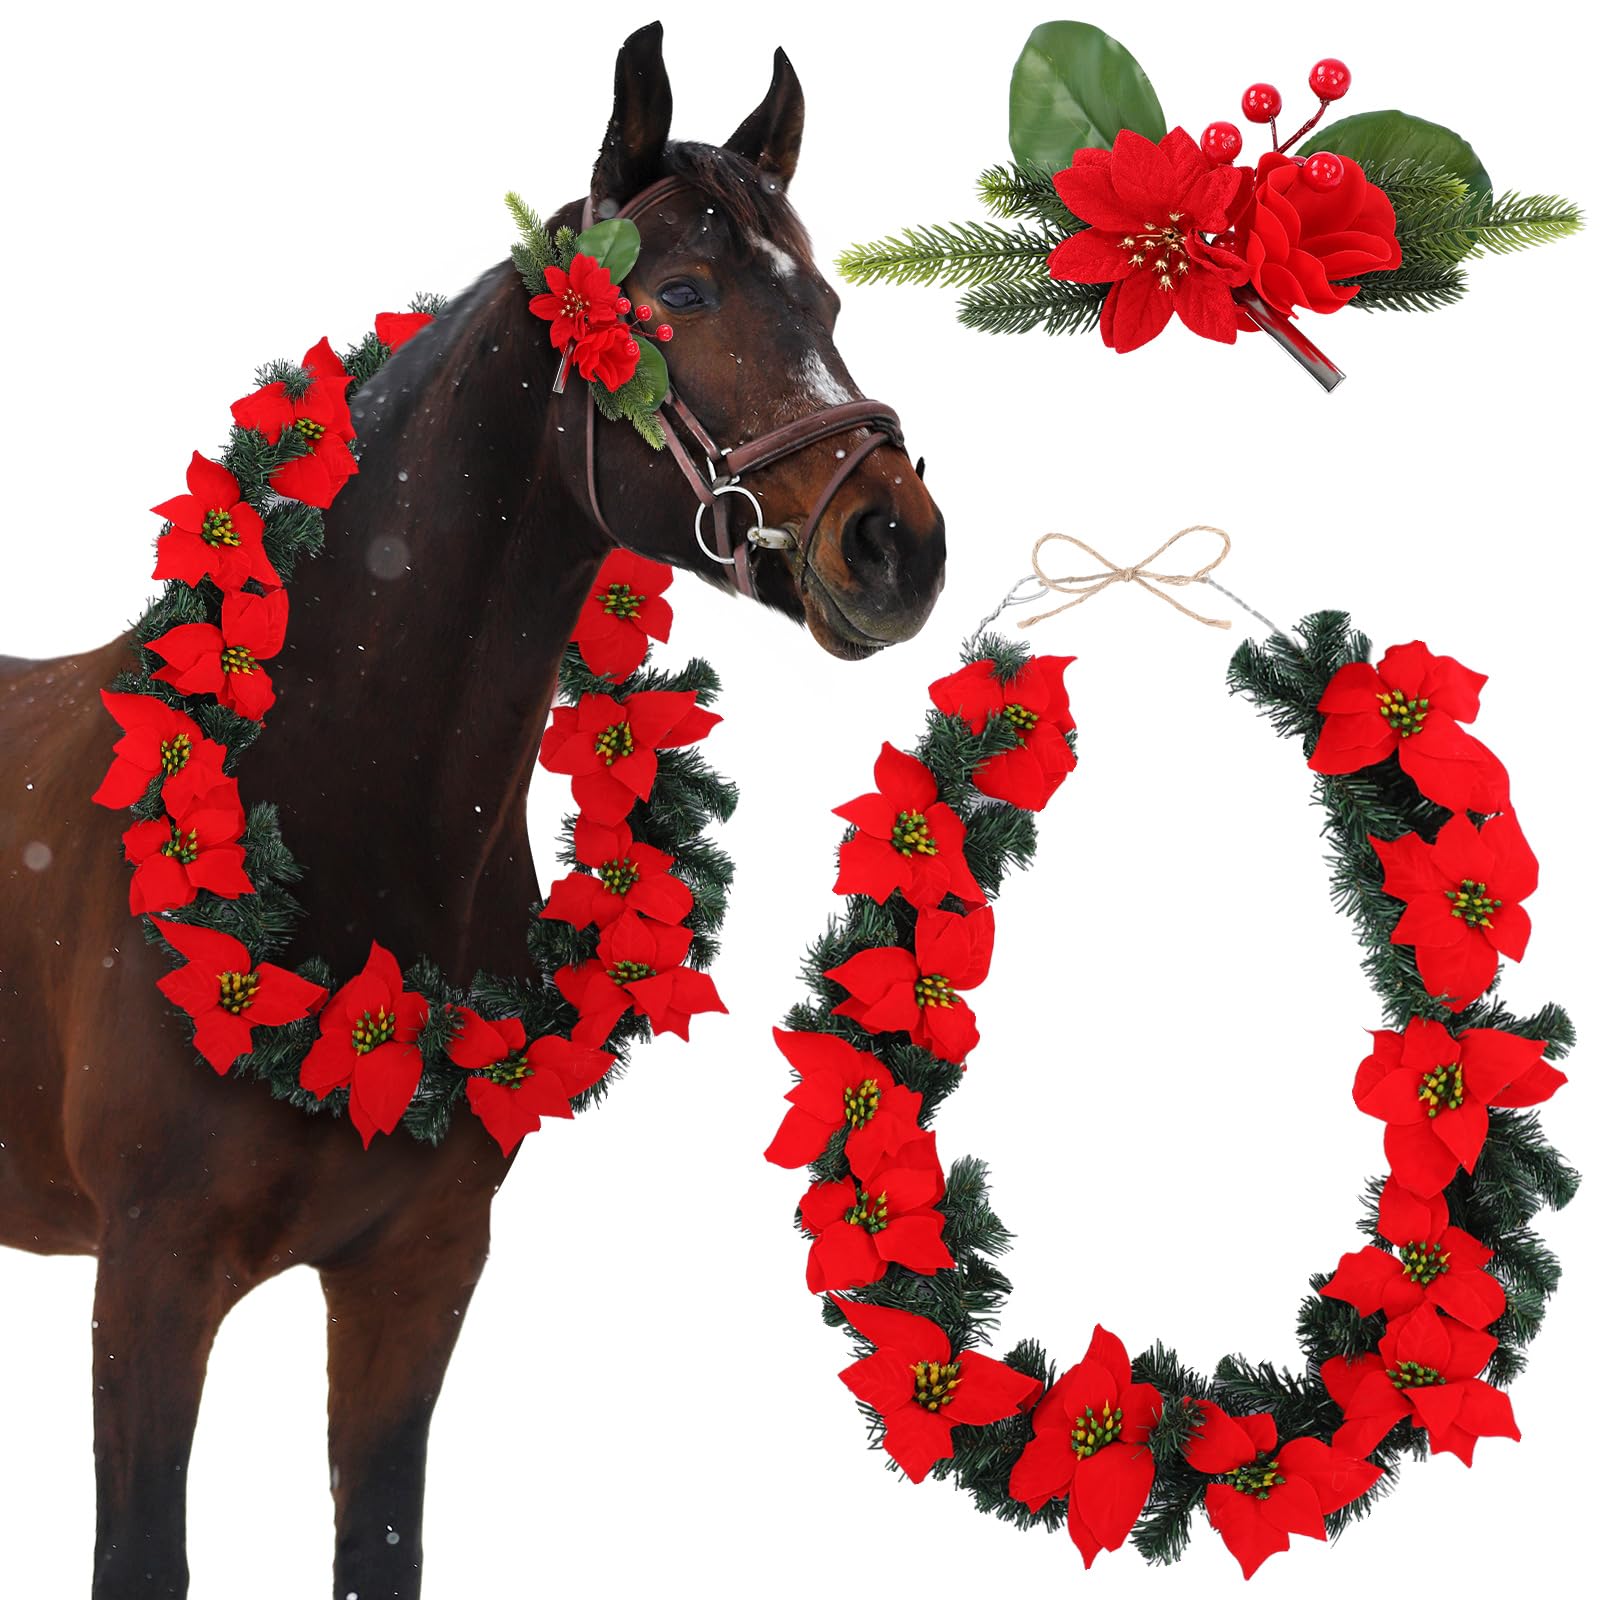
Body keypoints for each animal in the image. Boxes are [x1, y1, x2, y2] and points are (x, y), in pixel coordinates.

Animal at [0, 23, 945, 1598]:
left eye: (820, 297)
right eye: (679, 295)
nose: (895, 544)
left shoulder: (417, 1273)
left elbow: (380, 1541)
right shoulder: (148, 1279)